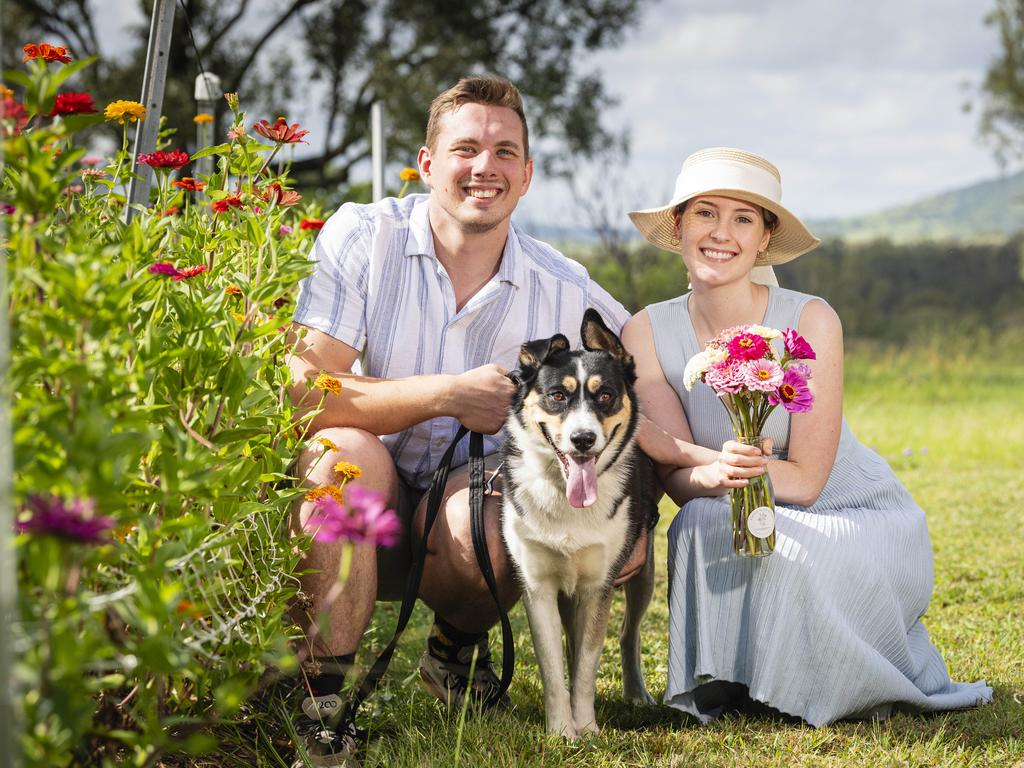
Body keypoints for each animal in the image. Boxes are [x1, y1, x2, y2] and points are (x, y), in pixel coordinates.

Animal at [501, 307, 655, 741]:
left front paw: (586, 728)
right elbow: (554, 669)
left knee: (628, 632)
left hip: (644, 571)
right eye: (557, 395)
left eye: (606, 395)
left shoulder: (596, 586)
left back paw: (636, 692)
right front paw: (561, 732)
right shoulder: (538, 587)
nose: (583, 439)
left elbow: (586, 665)